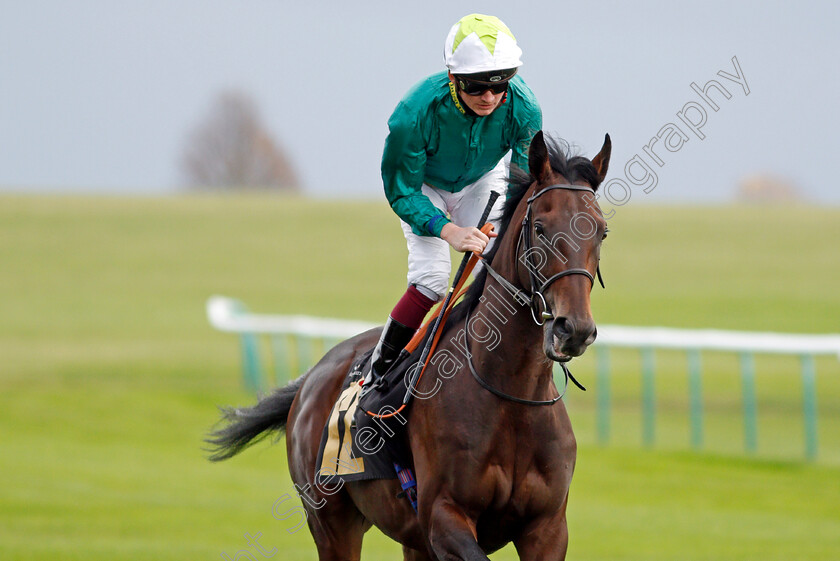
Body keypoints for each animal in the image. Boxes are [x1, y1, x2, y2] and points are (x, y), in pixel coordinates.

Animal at [205, 129, 612, 556]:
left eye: (601, 231)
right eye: (541, 228)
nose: (573, 329)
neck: (511, 396)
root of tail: (312, 379)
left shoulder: (547, 528)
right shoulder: (444, 518)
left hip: (410, 539)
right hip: (331, 522)